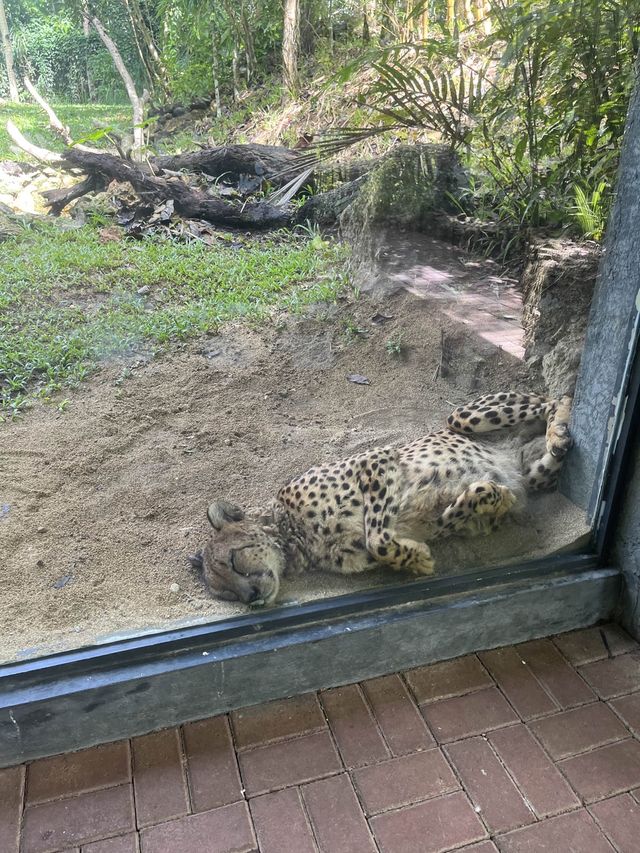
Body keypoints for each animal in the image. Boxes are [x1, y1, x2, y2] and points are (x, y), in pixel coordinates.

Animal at [190, 392, 568, 604]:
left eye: (234, 561)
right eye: (226, 594)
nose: (251, 599)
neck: (295, 535)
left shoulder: (376, 461)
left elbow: (378, 539)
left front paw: (416, 559)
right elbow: (447, 519)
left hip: (463, 418)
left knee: (548, 399)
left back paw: (561, 424)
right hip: (532, 472)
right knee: (544, 460)